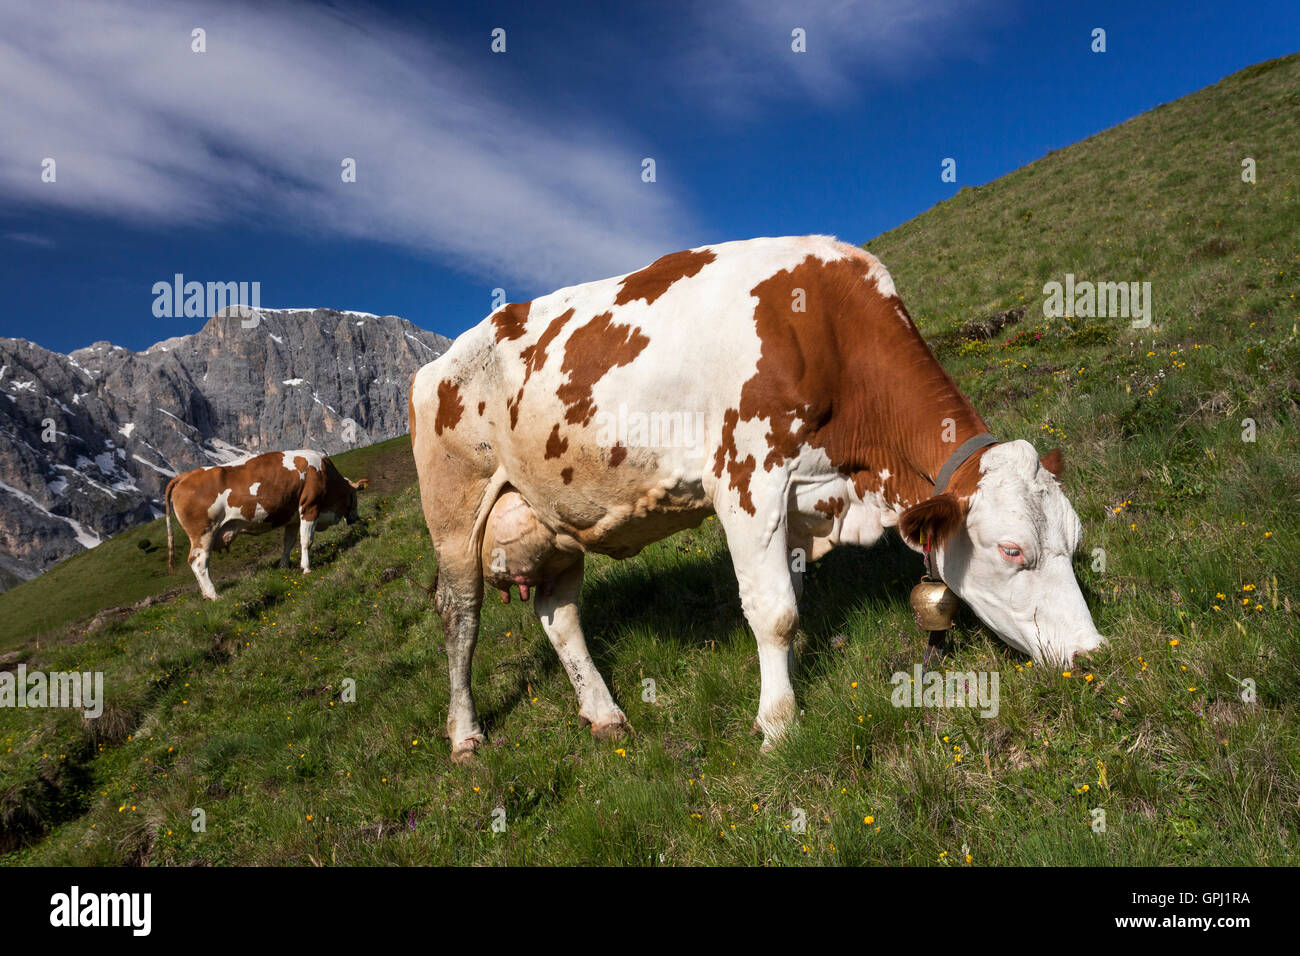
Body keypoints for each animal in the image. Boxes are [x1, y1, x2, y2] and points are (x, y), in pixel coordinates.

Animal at [165, 450, 366, 598]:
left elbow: (289, 543)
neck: (324, 473)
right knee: (199, 562)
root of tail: (184, 476)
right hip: (203, 532)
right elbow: (306, 541)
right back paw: (214, 595)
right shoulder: (310, 508)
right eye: (355, 496)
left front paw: (284, 566)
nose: (356, 518)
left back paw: (206, 594)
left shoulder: (293, 517)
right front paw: (306, 568)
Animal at [410, 238, 1102, 764]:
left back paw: (605, 715)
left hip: (552, 517)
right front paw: (777, 726)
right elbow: (775, 613)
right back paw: (466, 735)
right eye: (1011, 550)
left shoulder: (802, 497)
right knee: (460, 618)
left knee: (560, 615)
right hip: (454, 514)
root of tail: (437, 362)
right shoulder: (746, 478)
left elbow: (790, 598)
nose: (1093, 654)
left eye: (1074, 544)